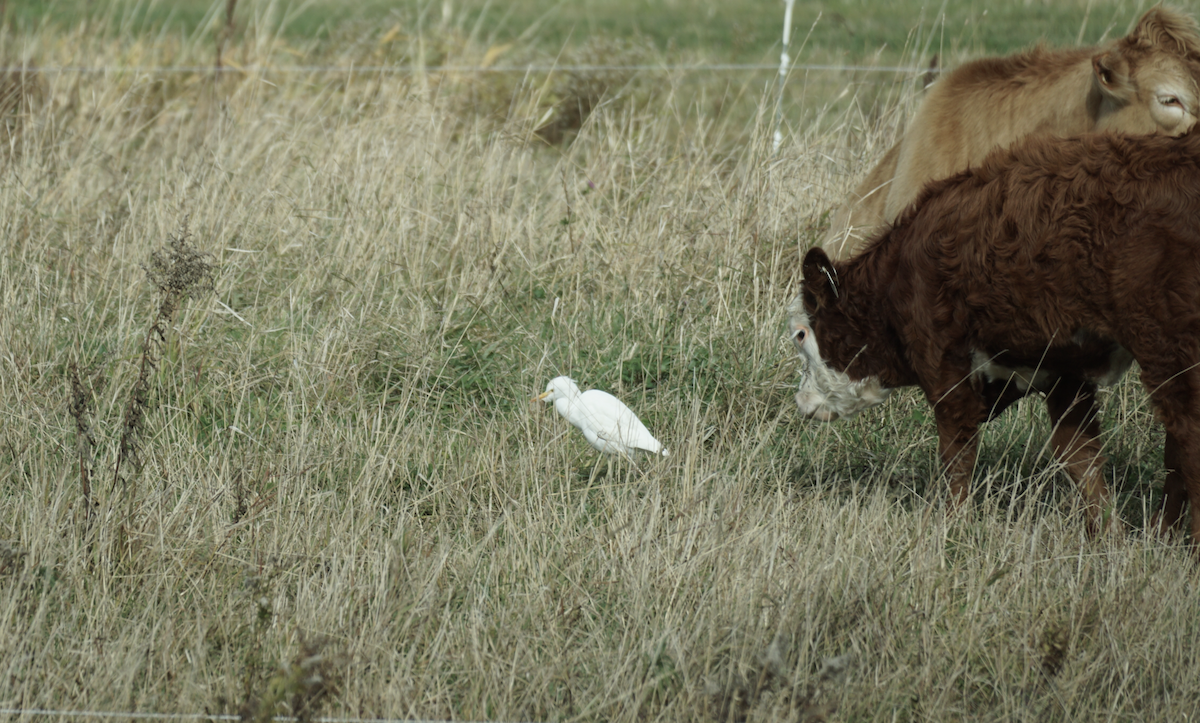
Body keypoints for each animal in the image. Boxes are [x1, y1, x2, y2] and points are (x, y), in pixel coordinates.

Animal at [788, 125, 1200, 544]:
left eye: (801, 335)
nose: (801, 400)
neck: (898, 279)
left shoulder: (945, 367)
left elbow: (957, 453)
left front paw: (950, 525)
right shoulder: (1062, 371)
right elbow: (1079, 455)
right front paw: (1106, 535)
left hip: (1168, 349)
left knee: (1188, 437)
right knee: (1176, 447)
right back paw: (1162, 532)